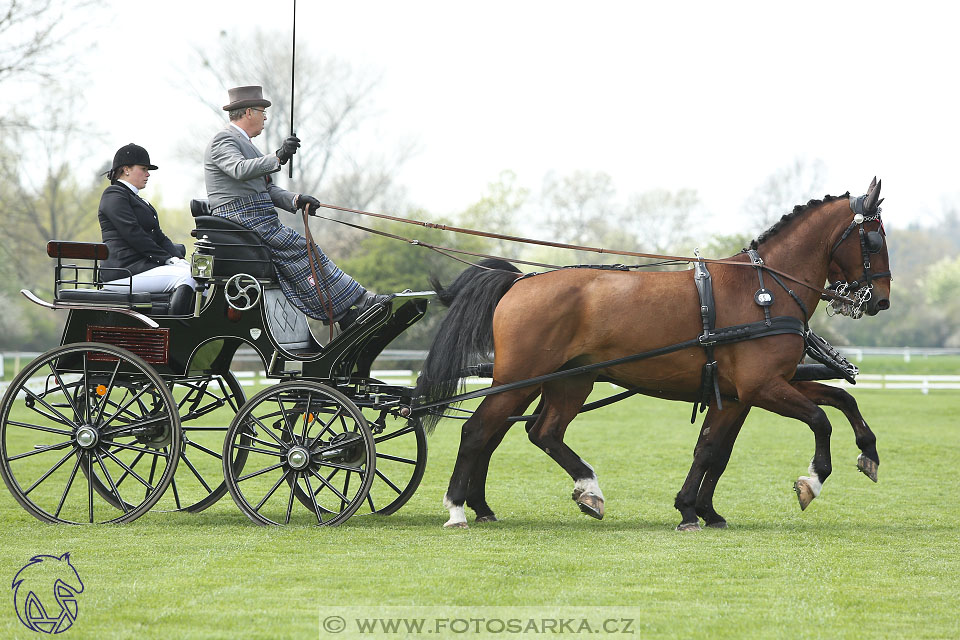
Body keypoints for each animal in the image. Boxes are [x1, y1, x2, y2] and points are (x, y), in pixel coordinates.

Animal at [414, 178, 892, 528]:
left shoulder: (746, 392)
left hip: (567, 381)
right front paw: (812, 480)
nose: (881, 301)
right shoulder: (763, 387)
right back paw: (459, 508)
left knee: (537, 432)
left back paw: (574, 492)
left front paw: (697, 510)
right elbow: (819, 420)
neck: (765, 290)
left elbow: (717, 448)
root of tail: (520, 281)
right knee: (478, 431)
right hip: (520, 379)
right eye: (872, 240)